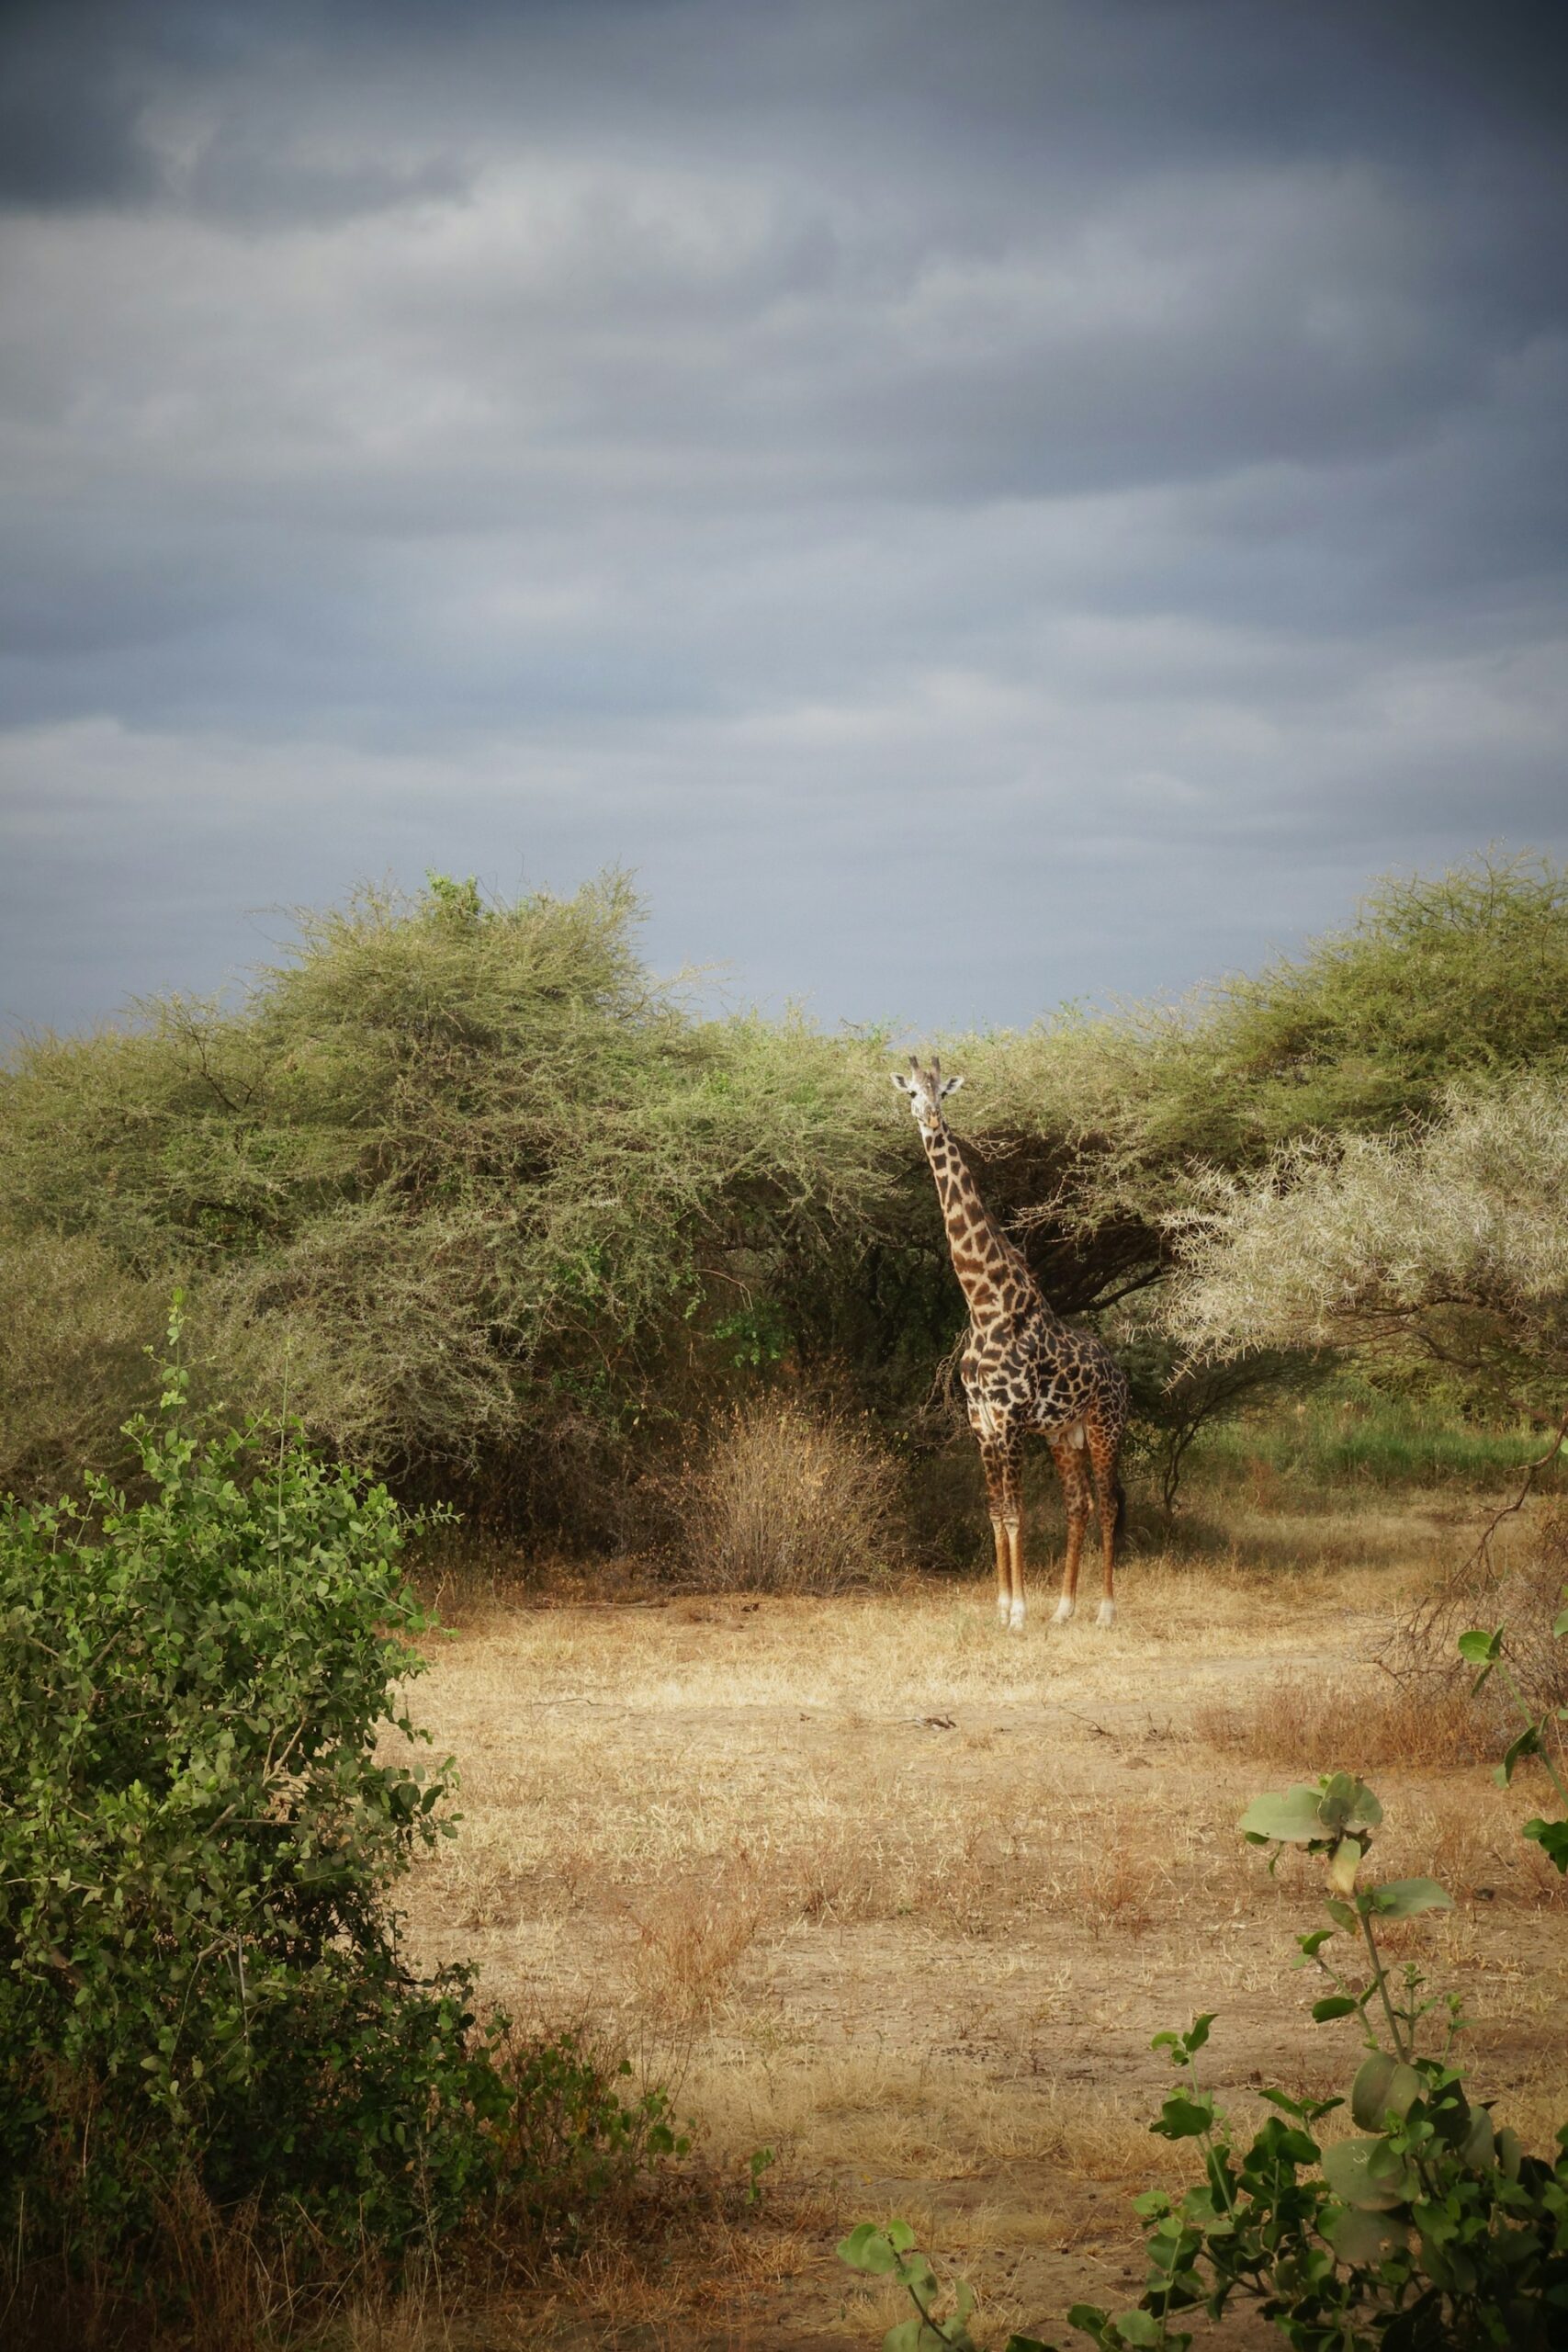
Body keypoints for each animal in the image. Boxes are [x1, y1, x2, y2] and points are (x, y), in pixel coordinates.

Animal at [893, 1063, 1128, 1636]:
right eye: (911, 1093)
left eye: (941, 1091)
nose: (930, 1117)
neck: (984, 1303)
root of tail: (1120, 1371)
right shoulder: (981, 1420)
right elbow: (996, 1511)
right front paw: (1001, 1606)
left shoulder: (1011, 1418)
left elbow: (1017, 1513)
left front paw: (1018, 1613)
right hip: (1066, 1434)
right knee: (1078, 1505)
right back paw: (1064, 1608)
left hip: (1106, 1426)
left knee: (1109, 1505)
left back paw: (1105, 1611)